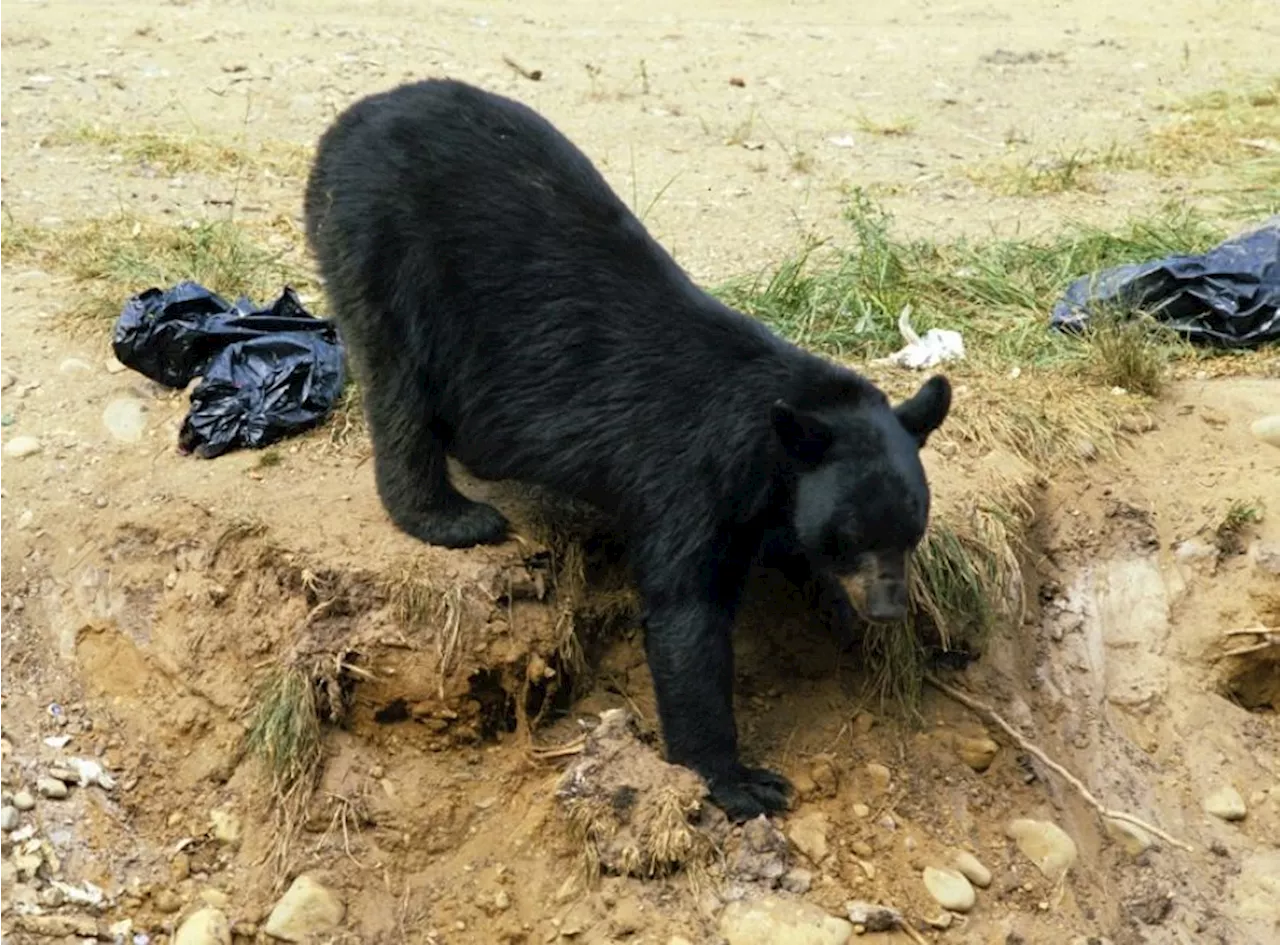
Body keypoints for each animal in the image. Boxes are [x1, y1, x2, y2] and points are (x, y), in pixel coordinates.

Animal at [304, 79, 952, 819]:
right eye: (850, 537)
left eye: (910, 531)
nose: (888, 606)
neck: (766, 442)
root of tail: (356, 117)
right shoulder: (689, 479)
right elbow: (686, 618)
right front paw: (739, 780)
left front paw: (838, 612)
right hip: (384, 243)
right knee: (398, 378)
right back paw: (451, 515)